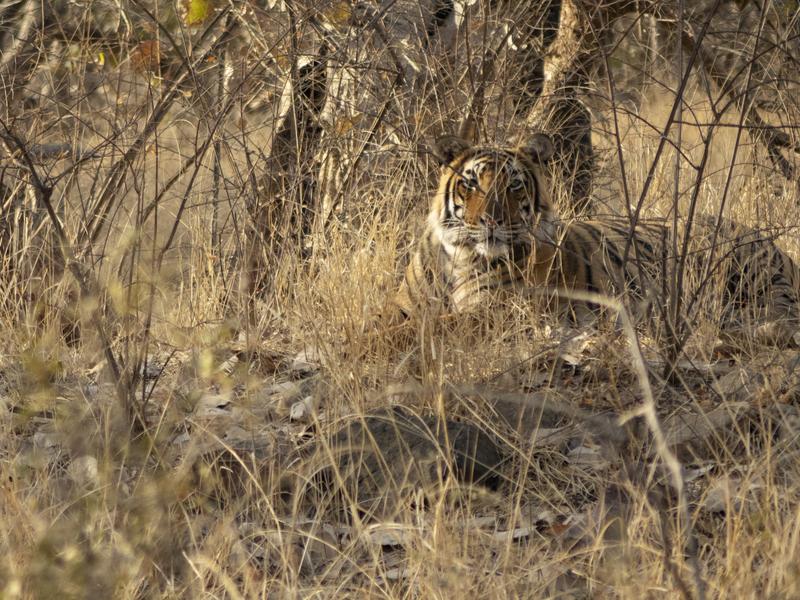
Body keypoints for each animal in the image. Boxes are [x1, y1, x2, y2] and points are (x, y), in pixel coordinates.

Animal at [391, 133, 800, 346]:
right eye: (472, 183)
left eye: (514, 185)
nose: (492, 220)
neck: (456, 255)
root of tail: (781, 251)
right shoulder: (405, 303)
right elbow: (393, 319)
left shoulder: (497, 312)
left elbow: (433, 325)